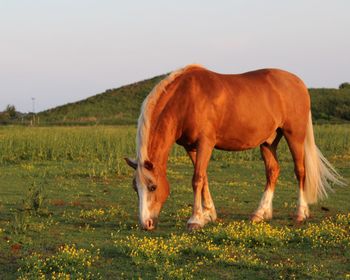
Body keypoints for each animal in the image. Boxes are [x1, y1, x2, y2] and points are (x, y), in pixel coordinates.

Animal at [124, 64, 344, 231]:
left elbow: (197, 179)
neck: (186, 98)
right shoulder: (191, 147)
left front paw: (195, 220)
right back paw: (260, 213)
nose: (146, 224)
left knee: (300, 171)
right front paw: (209, 214)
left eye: (152, 186)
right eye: (135, 188)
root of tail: (299, 83)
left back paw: (300, 213)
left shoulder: (205, 143)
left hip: (294, 135)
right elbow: (204, 178)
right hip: (268, 141)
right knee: (272, 171)